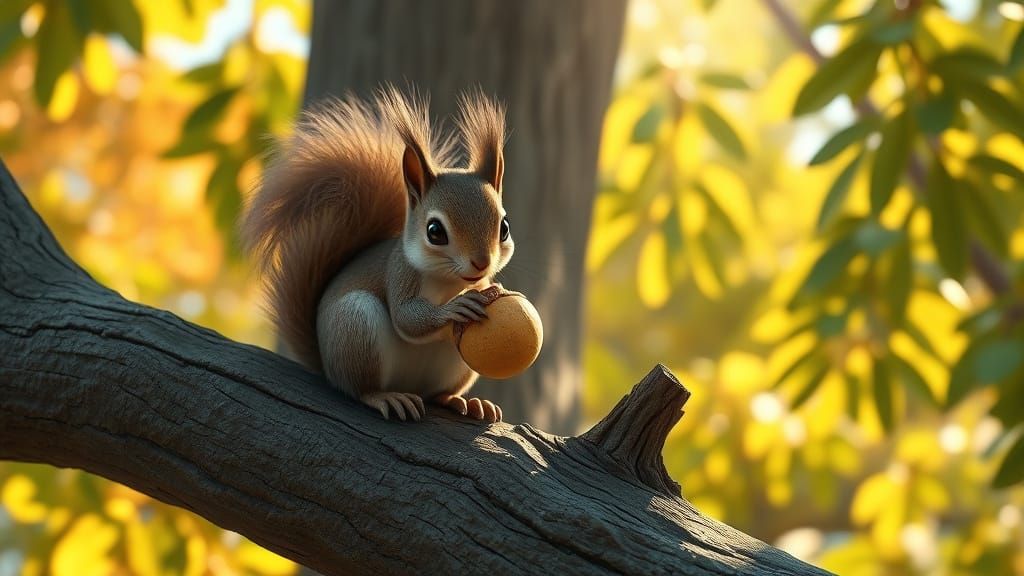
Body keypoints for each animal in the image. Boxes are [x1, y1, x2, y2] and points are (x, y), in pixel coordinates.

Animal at [240, 86, 513, 423]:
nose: (481, 262)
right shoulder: (400, 273)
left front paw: (493, 290)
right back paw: (386, 397)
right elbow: (407, 318)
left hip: (457, 363)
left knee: (437, 395)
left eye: (504, 227)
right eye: (435, 231)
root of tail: (328, 366)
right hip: (356, 326)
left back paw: (465, 402)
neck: (449, 282)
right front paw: (454, 308)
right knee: (361, 389)